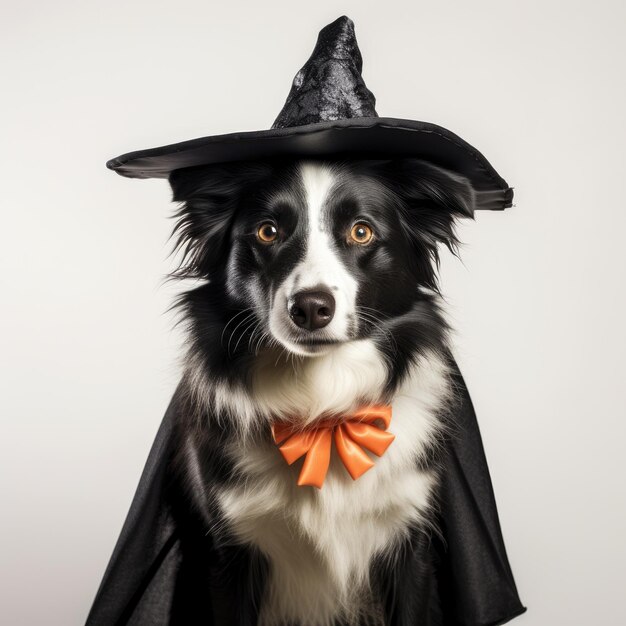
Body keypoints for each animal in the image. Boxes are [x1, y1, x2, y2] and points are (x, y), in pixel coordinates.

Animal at [165, 154, 472, 620]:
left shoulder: (411, 545)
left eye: (361, 231)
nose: (310, 308)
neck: (322, 410)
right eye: (267, 231)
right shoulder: (228, 554)